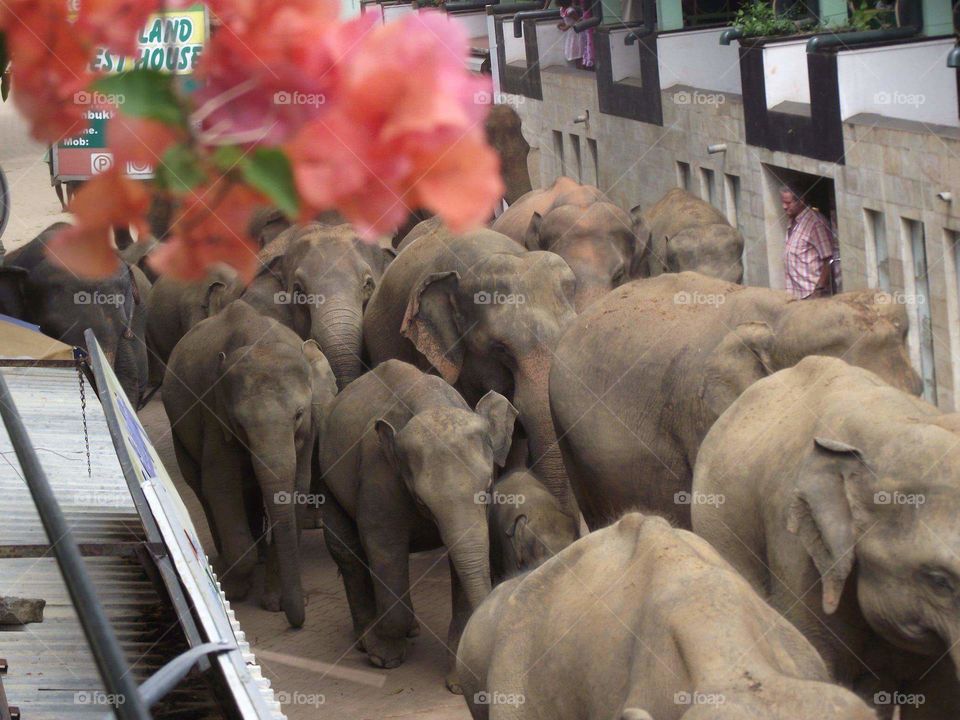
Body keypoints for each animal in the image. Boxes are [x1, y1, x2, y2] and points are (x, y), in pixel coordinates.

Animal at [163, 299, 337, 628]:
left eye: (298, 414)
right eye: (240, 424)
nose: (297, 622)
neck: (259, 341)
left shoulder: (308, 429)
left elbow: (296, 486)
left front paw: (274, 603)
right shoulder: (215, 416)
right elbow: (220, 485)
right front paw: (236, 590)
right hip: (179, 431)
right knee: (201, 488)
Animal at [319, 359, 517, 690]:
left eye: (488, 485)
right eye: (422, 501)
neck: (429, 401)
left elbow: (466, 560)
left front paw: (457, 685)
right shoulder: (379, 476)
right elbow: (384, 548)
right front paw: (383, 658)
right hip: (322, 472)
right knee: (347, 550)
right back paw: (366, 640)